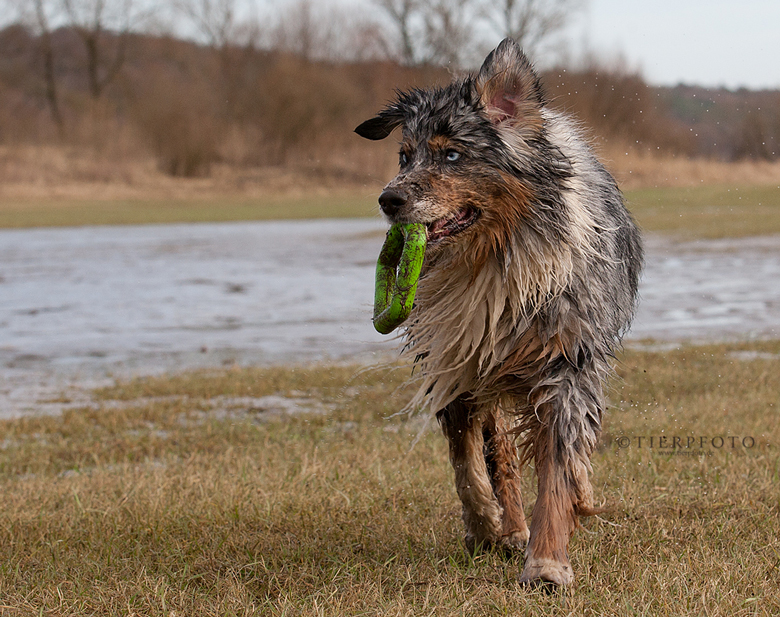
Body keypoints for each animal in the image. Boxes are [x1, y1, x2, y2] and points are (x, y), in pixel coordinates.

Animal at [356, 38, 644, 588]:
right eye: (404, 156)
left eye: (452, 154)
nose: (388, 198)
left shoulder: (567, 364)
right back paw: (508, 527)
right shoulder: (457, 359)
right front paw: (486, 529)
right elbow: (468, 464)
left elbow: (557, 470)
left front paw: (548, 561)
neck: (493, 259)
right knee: (501, 454)